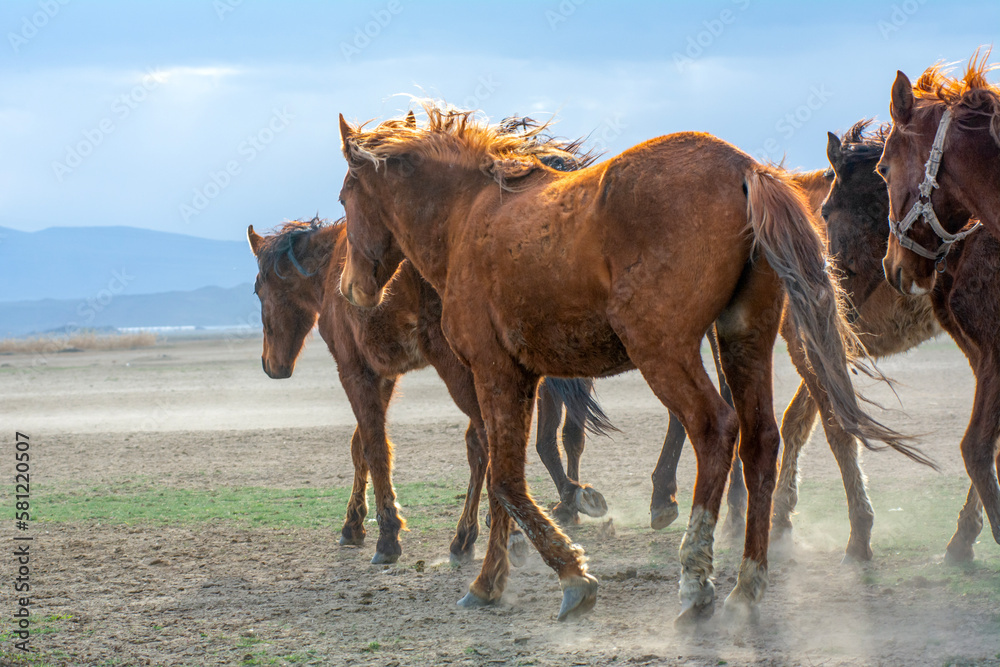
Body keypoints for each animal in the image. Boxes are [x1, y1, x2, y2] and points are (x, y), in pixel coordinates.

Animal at [247, 217, 611, 567]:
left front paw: (387, 536)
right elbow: (360, 445)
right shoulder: (385, 375)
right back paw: (474, 536)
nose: (270, 364)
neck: (330, 272)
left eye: (257, 290)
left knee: (488, 442)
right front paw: (353, 525)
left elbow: (375, 447)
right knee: (492, 444)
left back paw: (508, 533)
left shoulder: (353, 371)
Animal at [336, 102, 921, 623]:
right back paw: (747, 584)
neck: (468, 216)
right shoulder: (521, 378)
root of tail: (744, 169)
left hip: (662, 350)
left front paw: (571, 576)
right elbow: (507, 475)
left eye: (345, 196)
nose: (350, 290)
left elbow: (505, 479)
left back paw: (695, 582)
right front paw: (489, 582)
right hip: (742, 340)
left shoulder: (494, 372)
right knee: (760, 441)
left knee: (715, 430)